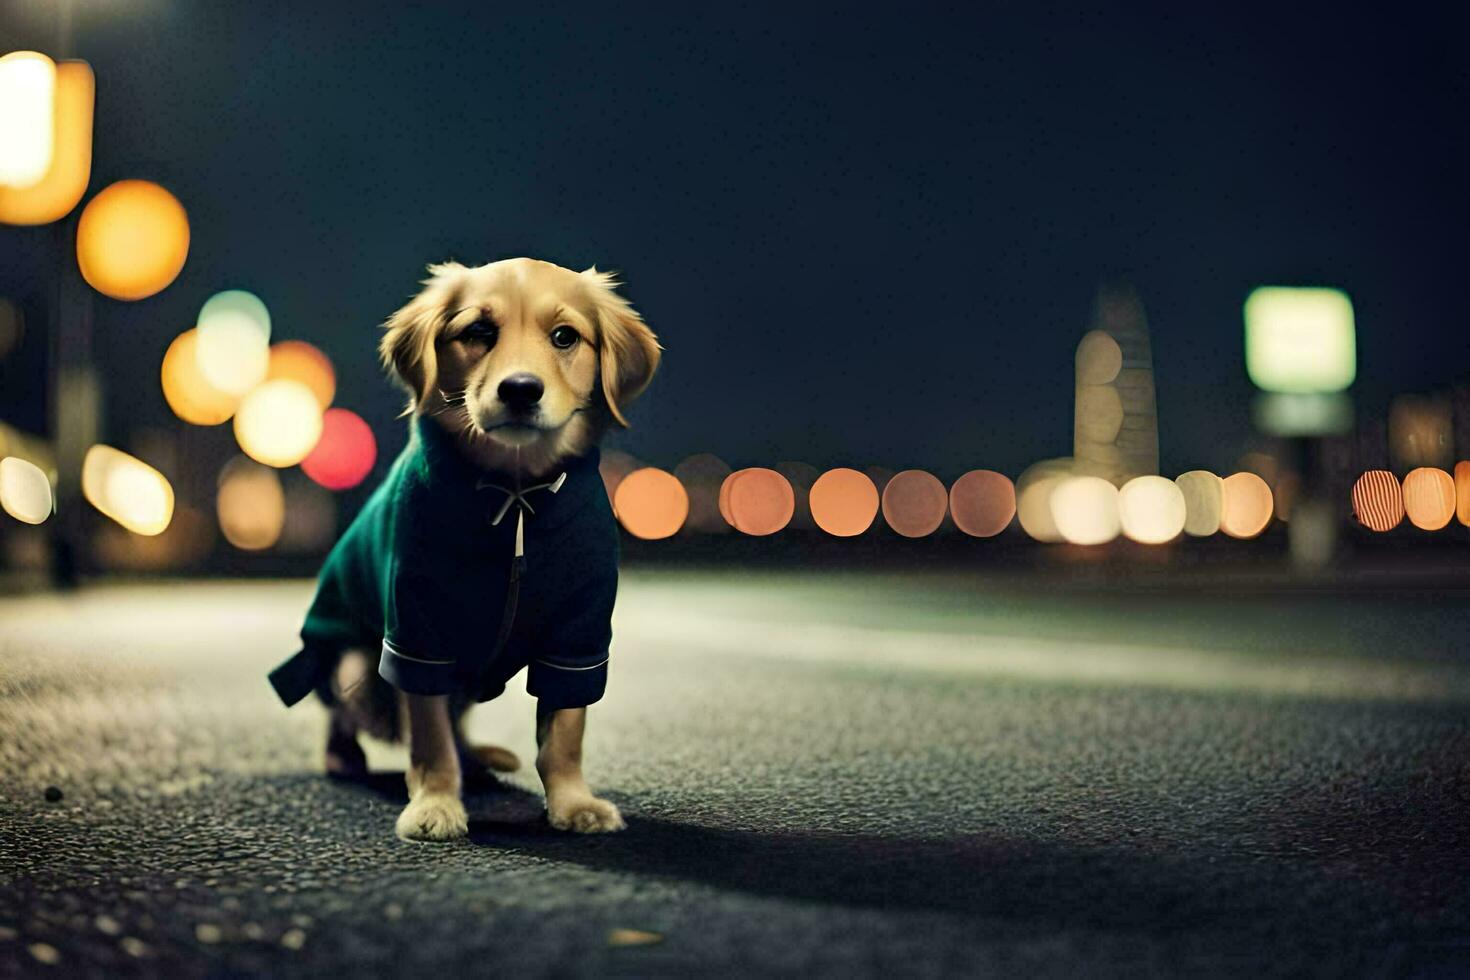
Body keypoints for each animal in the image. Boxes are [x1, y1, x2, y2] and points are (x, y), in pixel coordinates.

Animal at [267, 260, 664, 846]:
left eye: (564, 337)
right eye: (478, 331)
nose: (520, 389)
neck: (516, 489)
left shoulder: (579, 633)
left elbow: (565, 730)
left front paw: (573, 803)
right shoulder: (416, 632)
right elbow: (429, 734)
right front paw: (435, 803)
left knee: (460, 725)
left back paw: (479, 760)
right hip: (356, 668)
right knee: (355, 717)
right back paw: (347, 759)